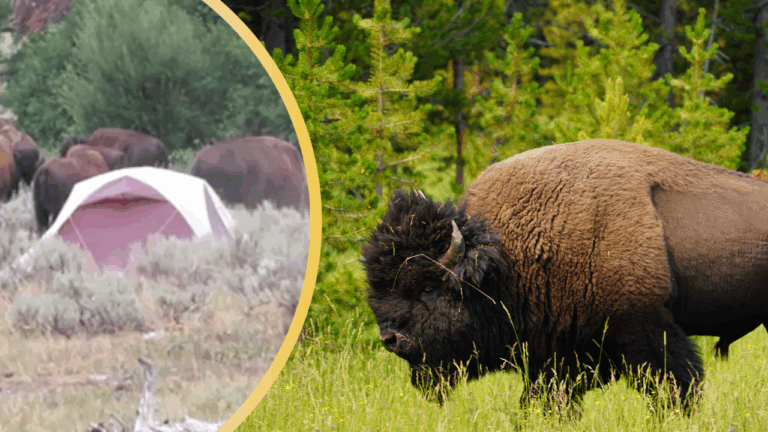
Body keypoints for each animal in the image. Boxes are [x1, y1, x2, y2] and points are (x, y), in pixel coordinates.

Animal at [363, 139, 768, 414]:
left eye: (429, 288)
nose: (391, 339)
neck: (509, 256)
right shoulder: (559, 352)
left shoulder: (645, 328)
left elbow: (676, 384)